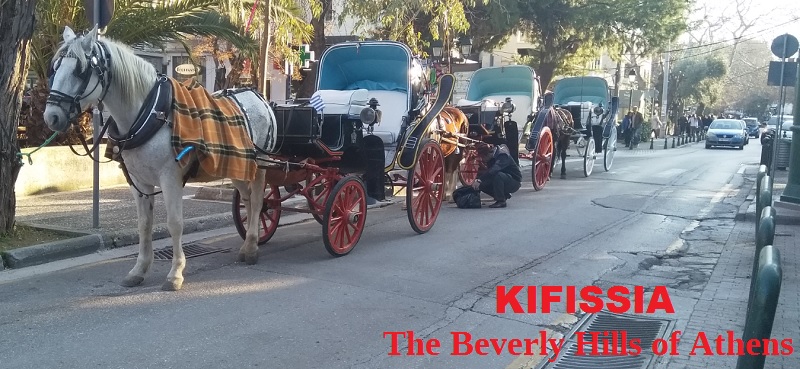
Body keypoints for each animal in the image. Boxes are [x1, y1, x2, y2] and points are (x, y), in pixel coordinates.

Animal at [43, 26, 276, 290]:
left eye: (80, 71)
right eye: (54, 68)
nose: (51, 116)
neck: (151, 112)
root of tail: (257, 96)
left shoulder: (170, 178)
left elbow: (174, 223)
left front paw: (175, 272)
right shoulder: (138, 181)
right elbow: (144, 225)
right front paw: (139, 270)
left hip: (261, 164)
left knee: (257, 201)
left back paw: (252, 246)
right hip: (237, 166)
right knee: (247, 199)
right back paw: (248, 243)